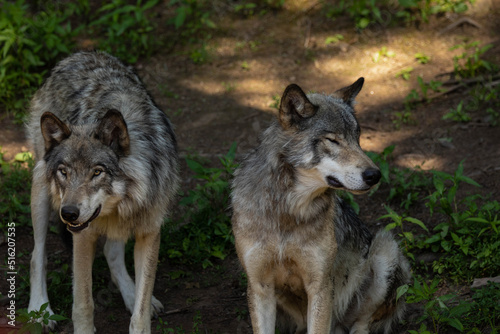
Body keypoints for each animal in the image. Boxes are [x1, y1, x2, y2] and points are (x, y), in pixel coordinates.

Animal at [26, 51, 180, 332]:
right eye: (64, 172)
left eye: (97, 172)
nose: (69, 213)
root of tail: (78, 55)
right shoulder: (82, 236)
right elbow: (83, 305)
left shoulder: (149, 232)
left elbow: (140, 313)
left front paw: (138, 303)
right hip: (41, 192)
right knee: (36, 256)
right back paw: (39, 310)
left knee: (111, 253)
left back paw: (129, 293)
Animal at [230, 79, 410, 334]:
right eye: (333, 140)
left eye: (357, 138)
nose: (374, 175)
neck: (288, 210)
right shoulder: (259, 286)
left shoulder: (321, 286)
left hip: (386, 250)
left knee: (361, 324)